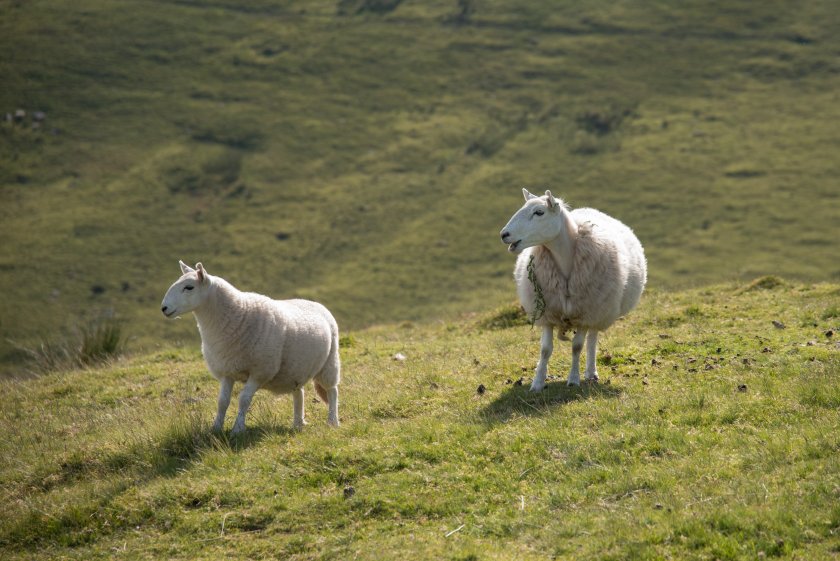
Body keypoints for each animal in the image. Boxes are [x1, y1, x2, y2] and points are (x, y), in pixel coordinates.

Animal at [161, 262, 338, 434]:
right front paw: (216, 427)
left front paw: (238, 429)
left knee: (332, 391)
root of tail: (314, 303)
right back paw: (298, 424)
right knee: (299, 393)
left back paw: (333, 421)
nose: (164, 308)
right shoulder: (227, 371)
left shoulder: (259, 371)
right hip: (295, 370)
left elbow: (244, 399)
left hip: (330, 362)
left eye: (189, 287)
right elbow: (222, 401)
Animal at [498, 188, 648, 390]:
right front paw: (537, 383)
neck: (565, 261)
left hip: (599, 308)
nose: (504, 234)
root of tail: (590, 209)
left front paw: (574, 379)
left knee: (591, 340)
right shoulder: (547, 312)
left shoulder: (585, 313)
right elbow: (545, 350)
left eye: (539, 212)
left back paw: (591, 372)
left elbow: (577, 347)